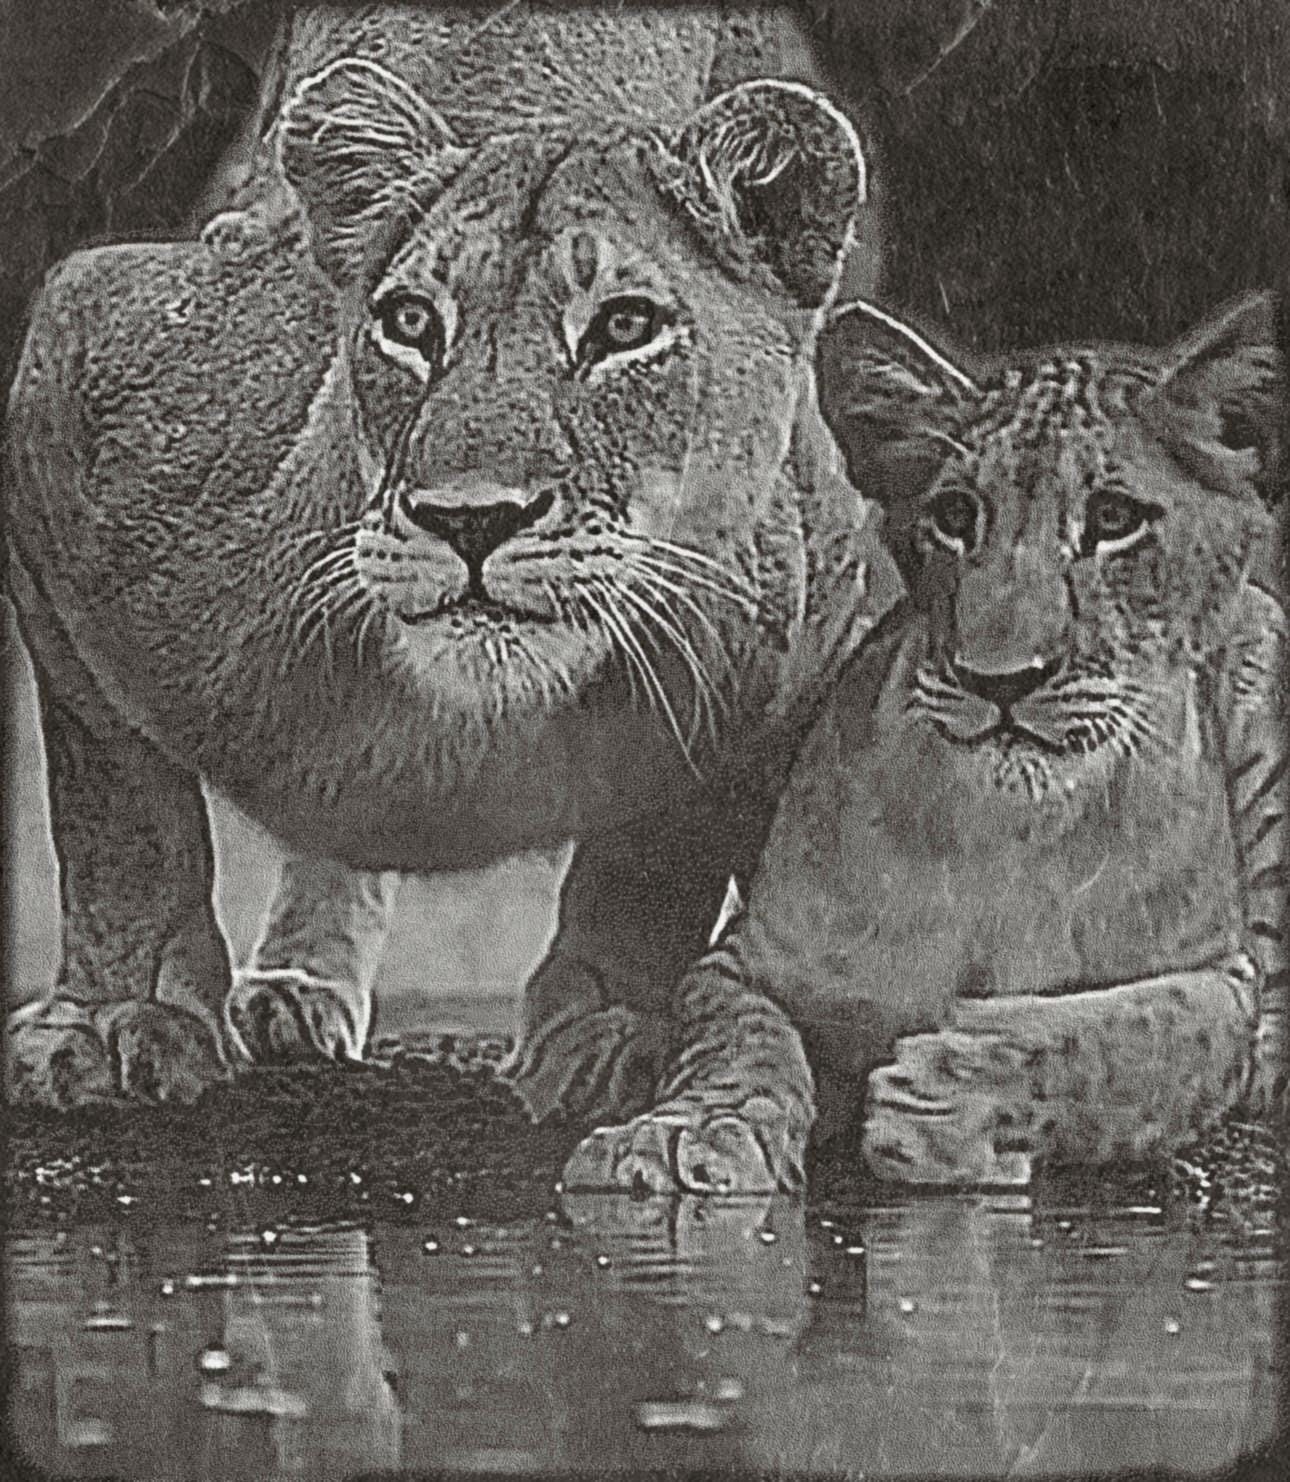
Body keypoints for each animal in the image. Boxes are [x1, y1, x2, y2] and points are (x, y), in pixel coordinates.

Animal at [3, 6, 891, 1108]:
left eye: (625, 328)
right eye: (411, 322)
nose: (471, 519)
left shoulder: (808, 623)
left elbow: (664, 848)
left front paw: (610, 1027)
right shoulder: (74, 372)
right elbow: (115, 809)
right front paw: (116, 1017)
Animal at [561, 292, 1284, 1194]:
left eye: (1115, 520)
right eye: (954, 517)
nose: (999, 679)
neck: (1013, 844)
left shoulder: (1221, 978)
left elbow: (1140, 1038)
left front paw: (949, 1098)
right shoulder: (743, 961)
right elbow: (736, 1041)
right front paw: (686, 1130)